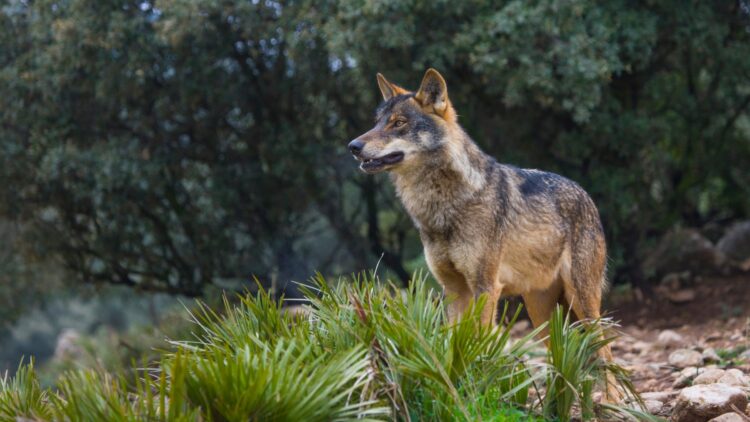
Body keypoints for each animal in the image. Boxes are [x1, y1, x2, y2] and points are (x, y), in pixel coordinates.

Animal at [348, 68, 619, 399]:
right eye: (377, 122)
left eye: (399, 123)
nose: (353, 146)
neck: (443, 208)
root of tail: (586, 195)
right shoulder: (453, 290)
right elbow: (453, 344)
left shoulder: (486, 288)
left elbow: (480, 343)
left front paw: (479, 389)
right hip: (542, 315)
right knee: (562, 356)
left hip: (582, 301)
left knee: (606, 350)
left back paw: (612, 401)